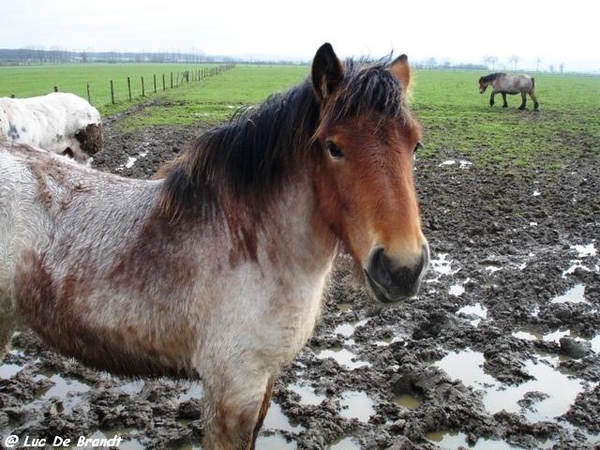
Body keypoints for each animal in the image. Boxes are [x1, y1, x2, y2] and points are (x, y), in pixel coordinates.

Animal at [1, 43, 432, 450]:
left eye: (415, 145)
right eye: (334, 147)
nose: (402, 268)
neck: (254, 248)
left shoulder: (263, 379)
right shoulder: (233, 387)